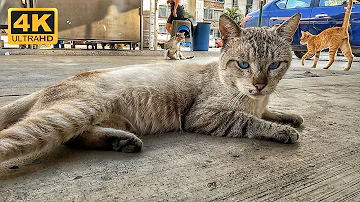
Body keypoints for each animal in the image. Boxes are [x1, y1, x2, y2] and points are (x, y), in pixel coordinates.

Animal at [0, 13, 302, 163]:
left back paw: (121, 142)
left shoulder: (261, 102)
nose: (259, 84)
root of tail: (47, 87)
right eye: (242, 64)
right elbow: (250, 121)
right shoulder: (204, 116)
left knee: (74, 138)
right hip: (73, 113)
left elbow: (269, 111)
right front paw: (283, 130)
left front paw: (290, 116)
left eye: (274, 65)